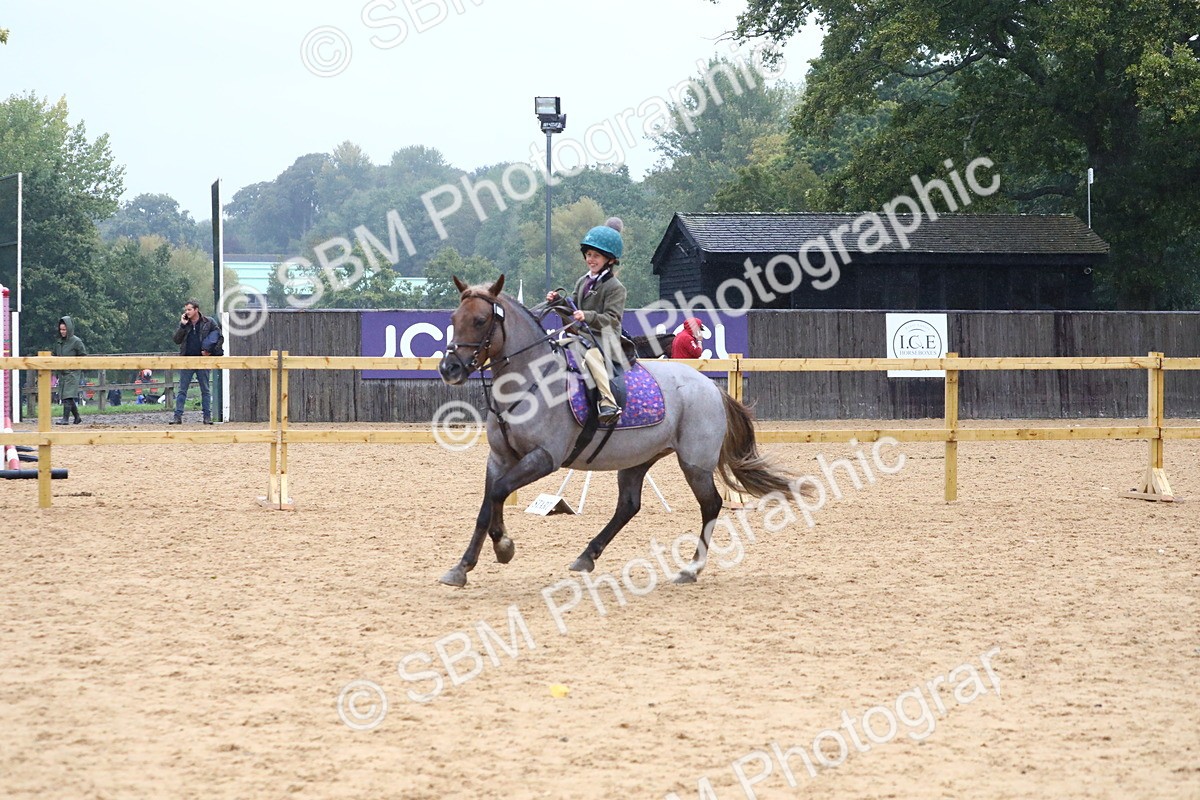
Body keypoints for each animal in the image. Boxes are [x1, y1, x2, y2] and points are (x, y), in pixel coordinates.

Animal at [436, 275, 803, 588]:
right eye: (454, 318)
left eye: (479, 321)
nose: (448, 368)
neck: (530, 381)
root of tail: (711, 387)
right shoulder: (499, 459)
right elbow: (488, 504)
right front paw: (462, 567)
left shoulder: (544, 458)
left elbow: (499, 492)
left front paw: (504, 547)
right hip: (638, 460)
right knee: (628, 505)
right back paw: (587, 556)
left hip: (695, 464)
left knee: (710, 505)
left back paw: (690, 569)